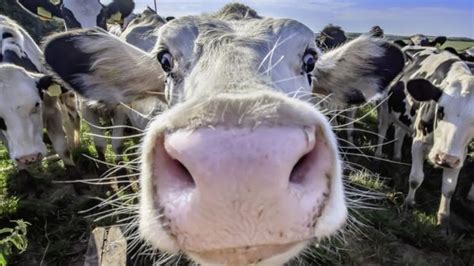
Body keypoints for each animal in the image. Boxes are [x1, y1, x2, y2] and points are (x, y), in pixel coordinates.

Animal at [376, 45, 472, 229]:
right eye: (440, 110)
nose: (444, 158)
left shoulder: (459, 156)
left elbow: (449, 189)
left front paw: (443, 219)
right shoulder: (419, 142)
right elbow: (416, 178)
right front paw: (408, 203)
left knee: (399, 133)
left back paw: (397, 157)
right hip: (385, 108)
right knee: (382, 130)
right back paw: (377, 155)